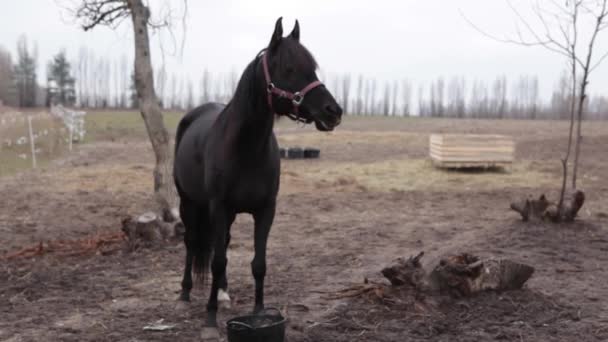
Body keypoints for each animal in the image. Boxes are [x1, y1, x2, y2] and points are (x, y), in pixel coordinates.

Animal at [172, 17, 342, 336]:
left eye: (312, 67)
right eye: (289, 68)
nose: (333, 111)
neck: (246, 148)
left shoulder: (265, 210)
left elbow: (257, 263)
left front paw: (260, 312)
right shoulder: (218, 207)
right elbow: (217, 261)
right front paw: (210, 319)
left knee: (222, 243)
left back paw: (223, 292)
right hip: (189, 203)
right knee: (192, 243)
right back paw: (186, 293)